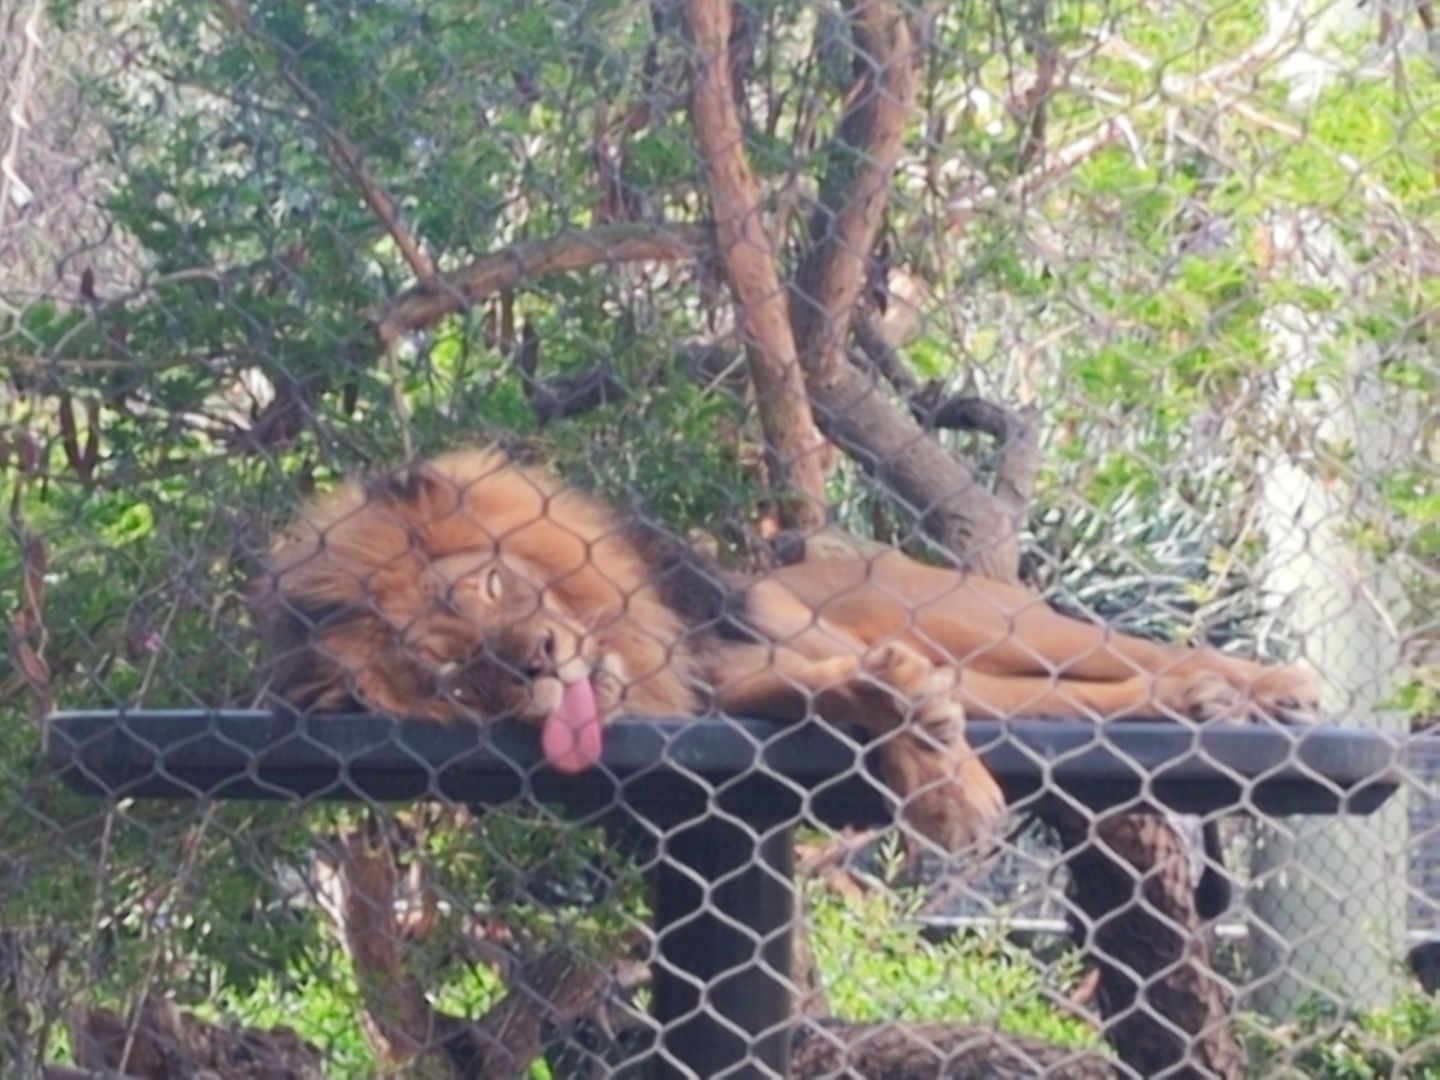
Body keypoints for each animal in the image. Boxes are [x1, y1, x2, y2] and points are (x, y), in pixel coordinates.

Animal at [256, 447, 1319, 852]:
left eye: (485, 585)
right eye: (452, 672)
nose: (540, 660)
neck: (642, 648)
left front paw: (951, 785)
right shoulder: (729, 685)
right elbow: (841, 694)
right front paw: (916, 740)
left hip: (967, 612)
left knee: (1121, 648)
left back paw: (1266, 685)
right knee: (1086, 691)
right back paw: (1208, 703)